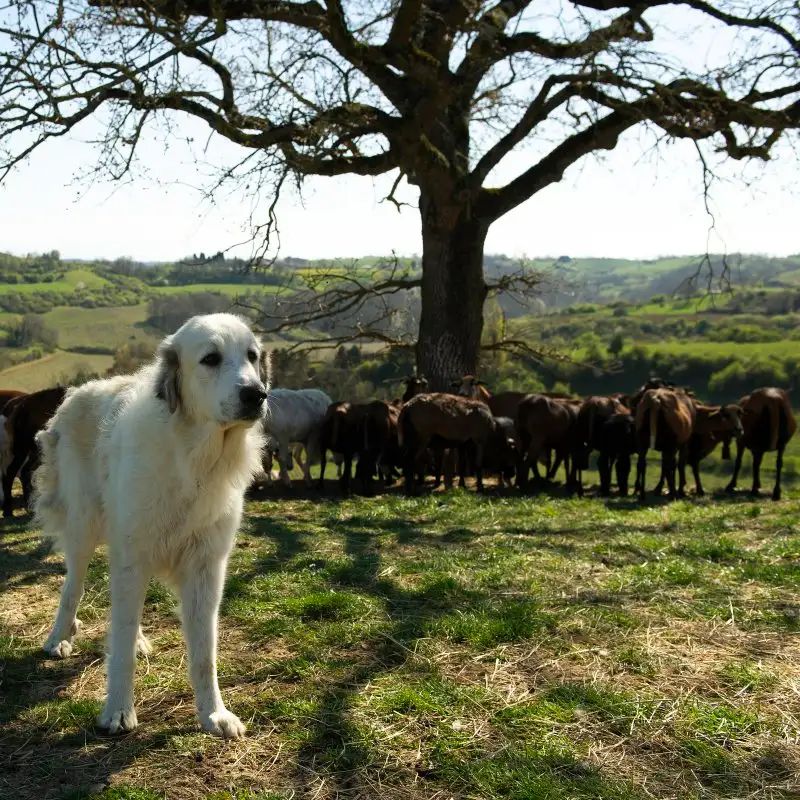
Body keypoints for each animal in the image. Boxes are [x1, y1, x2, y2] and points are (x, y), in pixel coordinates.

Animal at [33, 312, 268, 736]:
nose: (257, 394)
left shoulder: (206, 569)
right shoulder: (133, 557)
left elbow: (204, 653)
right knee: (72, 588)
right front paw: (117, 711)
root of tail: (76, 393)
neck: (192, 459)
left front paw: (213, 714)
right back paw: (59, 637)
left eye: (252, 356)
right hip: (83, 530)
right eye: (210, 359)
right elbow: (121, 645)